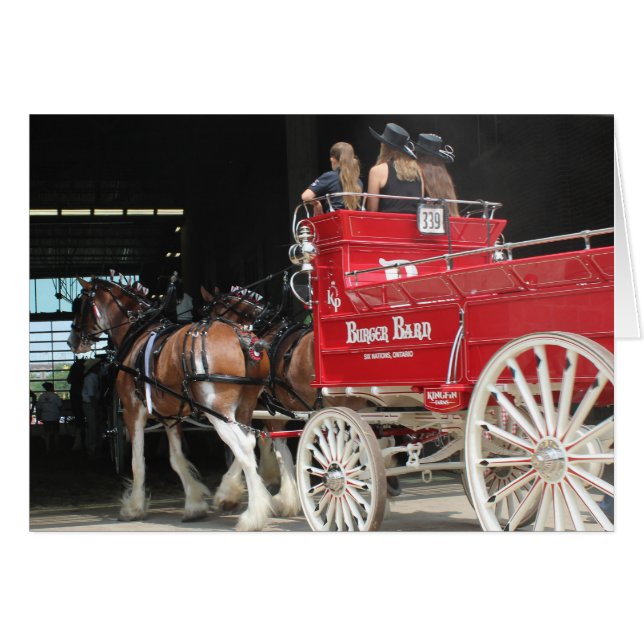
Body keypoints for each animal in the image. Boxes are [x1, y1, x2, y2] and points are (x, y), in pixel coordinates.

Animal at [67, 277, 274, 531]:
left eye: (80, 305)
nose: (72, 342)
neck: (138, 333)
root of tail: (242, 337)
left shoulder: (132, 410)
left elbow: (137, 462)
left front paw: (133, 507)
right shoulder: (170, 416)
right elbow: (176, 459)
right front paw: (195, 505)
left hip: (219, 411)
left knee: (243, 447)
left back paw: (253, 515)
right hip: (244, 407)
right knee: (250, 441)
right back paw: (230, 495)